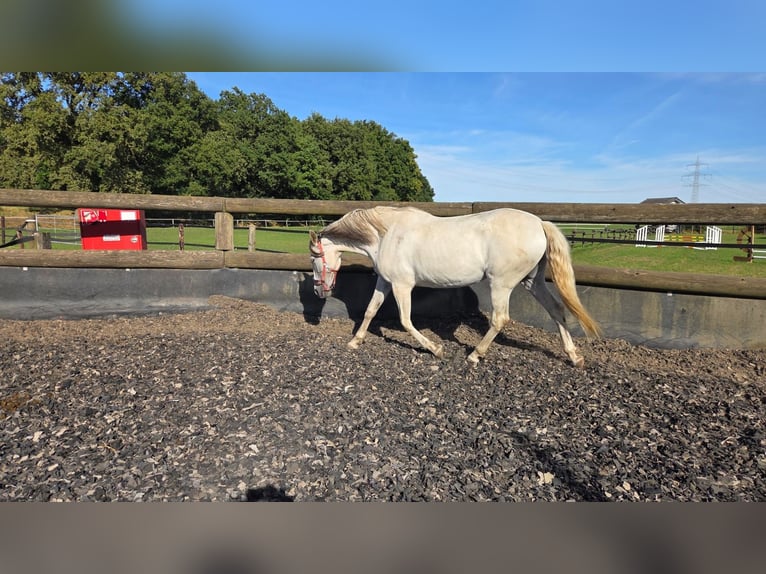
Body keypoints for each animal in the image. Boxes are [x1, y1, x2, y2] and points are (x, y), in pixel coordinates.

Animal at [309, 206, 601, 367]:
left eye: (313, 260)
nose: (318, 292)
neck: (386, 234)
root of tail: (539, 223)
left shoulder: (403, 285)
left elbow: (405, 320)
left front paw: (435, 349)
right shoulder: (386, 282)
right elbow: (370, 310)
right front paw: (355, 341)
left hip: (501, 284)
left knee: (500, 319)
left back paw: (474, 356)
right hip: (533, 282)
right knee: (557, 309)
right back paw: (574, 356)